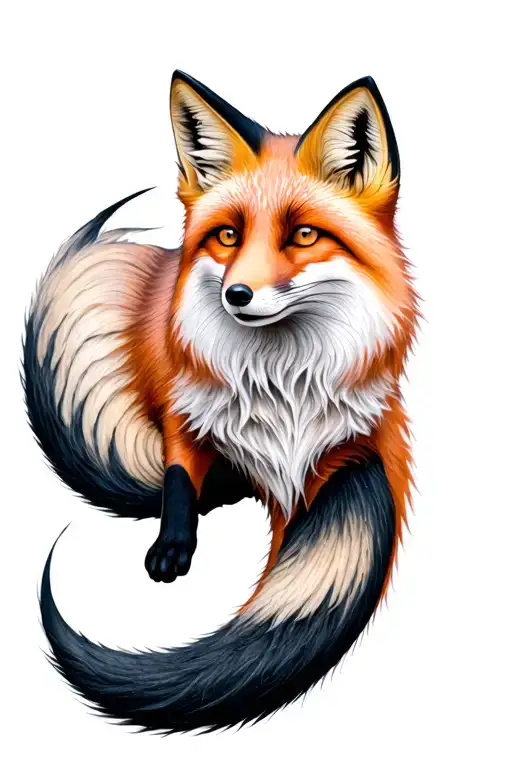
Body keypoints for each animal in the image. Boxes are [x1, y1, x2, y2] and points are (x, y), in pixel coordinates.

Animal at [24, 70, 418, 733]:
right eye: (229, 236)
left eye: (303, 235)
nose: (238, 294)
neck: (281, 384)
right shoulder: (184, 409)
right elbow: (181, 475)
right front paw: (172, 544)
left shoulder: (356, 442)